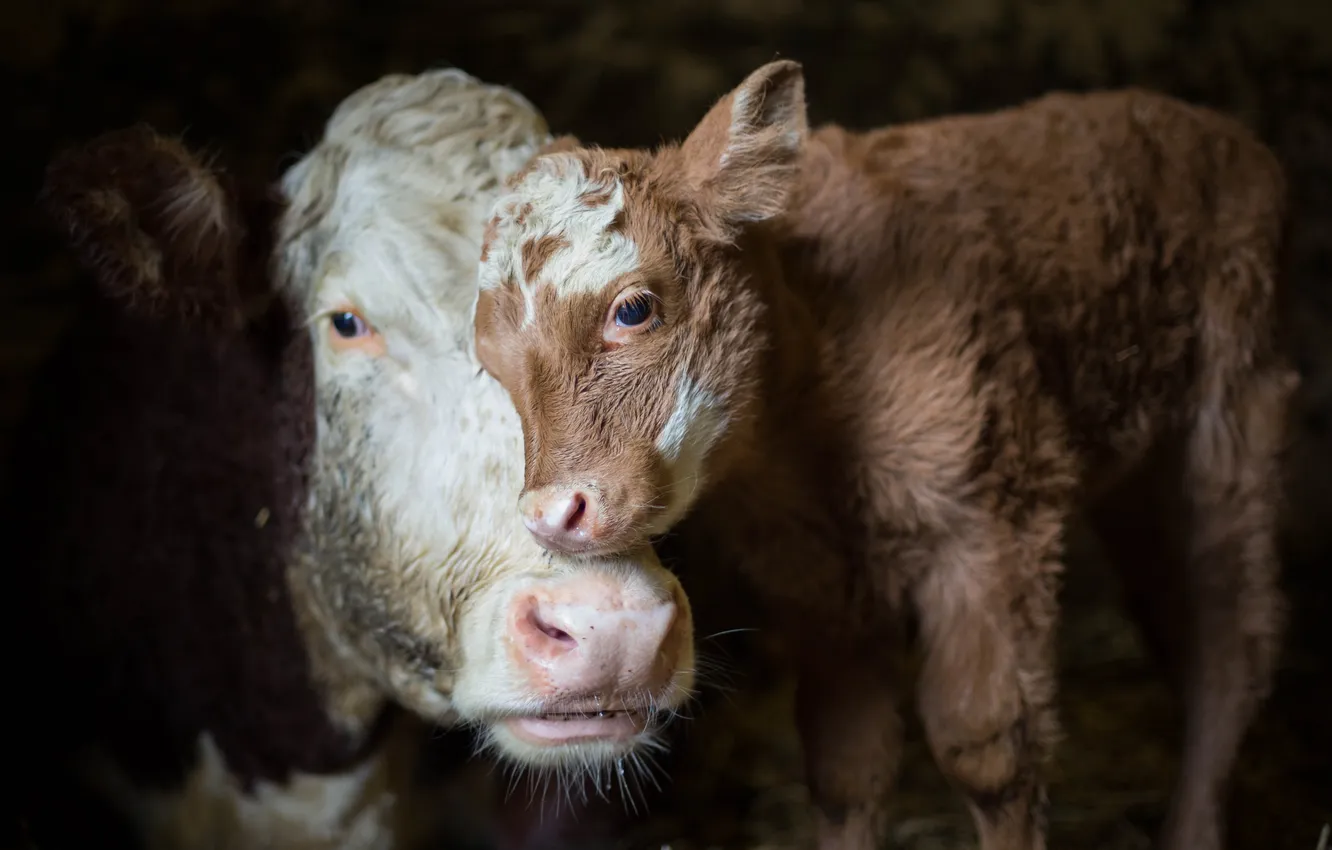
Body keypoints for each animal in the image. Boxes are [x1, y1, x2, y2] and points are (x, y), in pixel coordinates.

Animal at [471, 59, 1300, 850]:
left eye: (634, 309)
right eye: (490, 362)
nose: (554, 513)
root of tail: (1221, 131)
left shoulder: (992, 525)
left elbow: (988, 749)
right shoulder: (816, 577)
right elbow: (847, 762)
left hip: (1235, 418)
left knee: (1231, 637)